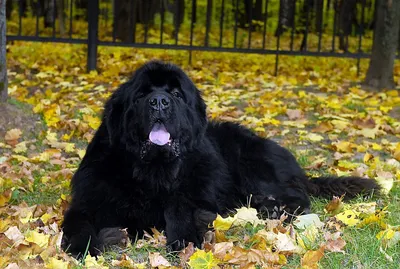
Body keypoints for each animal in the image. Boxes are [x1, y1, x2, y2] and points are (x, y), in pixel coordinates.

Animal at [61, 60, 380, 255]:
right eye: (140, 96)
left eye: (176, 94)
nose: (159, 101)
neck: (154, 171)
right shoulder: (90, 199)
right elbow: (77, 223)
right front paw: (85, 246)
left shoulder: (192, 191)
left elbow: (181, 207)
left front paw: (186, 239)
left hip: (250, 161)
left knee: (298, 197)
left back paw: (273, 209)